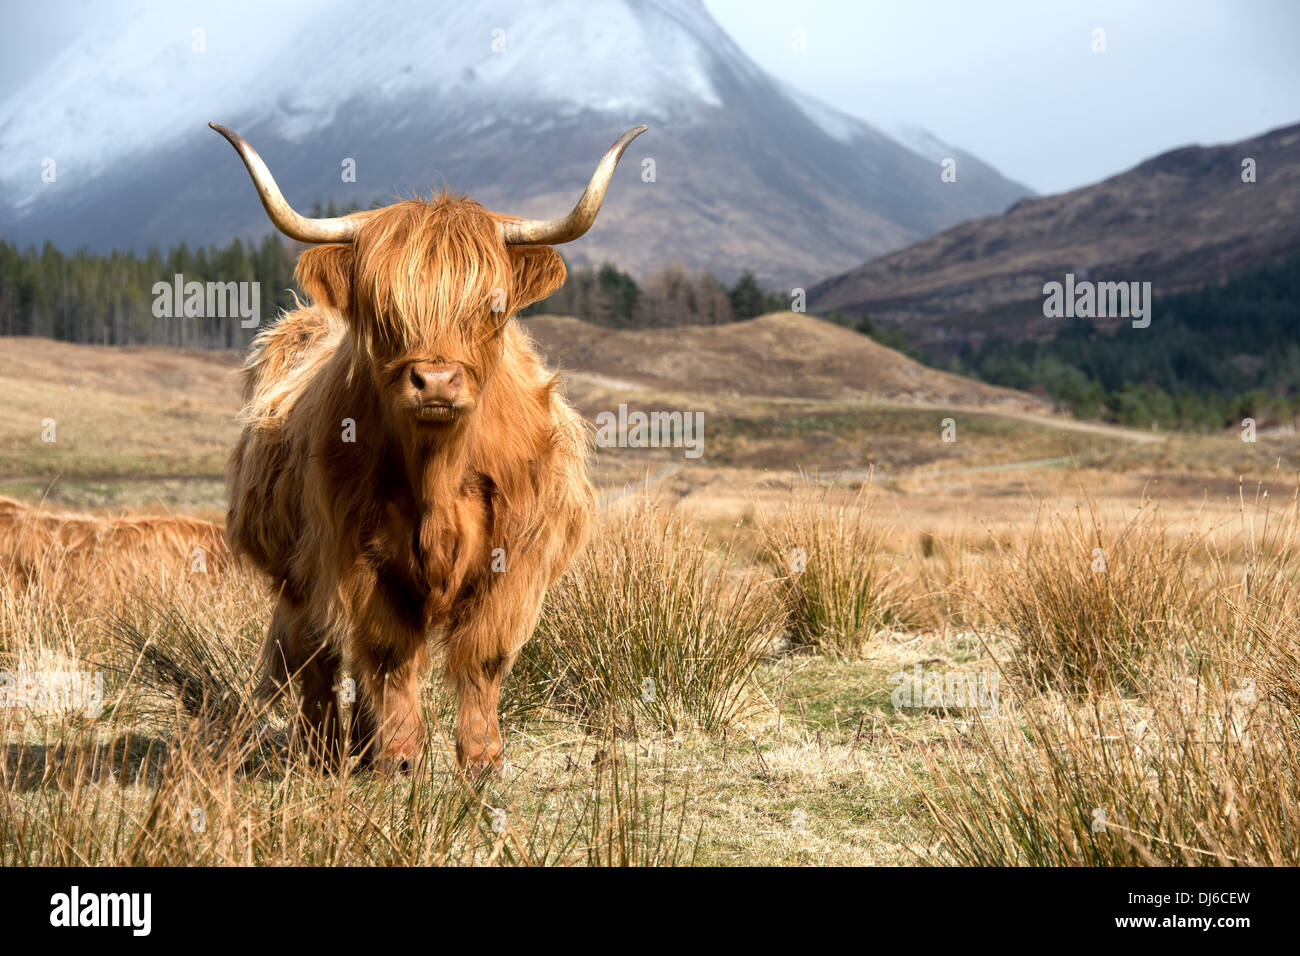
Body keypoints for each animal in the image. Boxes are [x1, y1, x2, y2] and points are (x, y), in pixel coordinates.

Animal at [215, 121, 647, 780]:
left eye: (492, 306)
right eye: (383, 308)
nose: (437, 381)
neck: (440, 472)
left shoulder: (517, 557)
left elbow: (484, 658)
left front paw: (481, 761)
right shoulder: (355, 556)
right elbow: (390, 653)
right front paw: (401, 761)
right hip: (294, 573)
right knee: (316, 653)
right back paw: (322, 752)